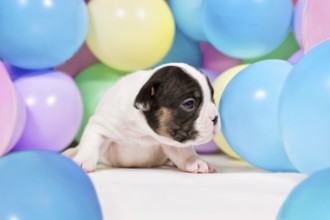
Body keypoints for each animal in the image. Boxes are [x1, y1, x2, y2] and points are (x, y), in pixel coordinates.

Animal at [63, 62, 220, 173]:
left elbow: (183, 151)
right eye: (189, 104)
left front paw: (194, 161)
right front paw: (83, 160)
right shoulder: (101, 126)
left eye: (212, 98)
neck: (144, 131)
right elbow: (92, 144)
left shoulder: (170, 141)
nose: (215, 117)